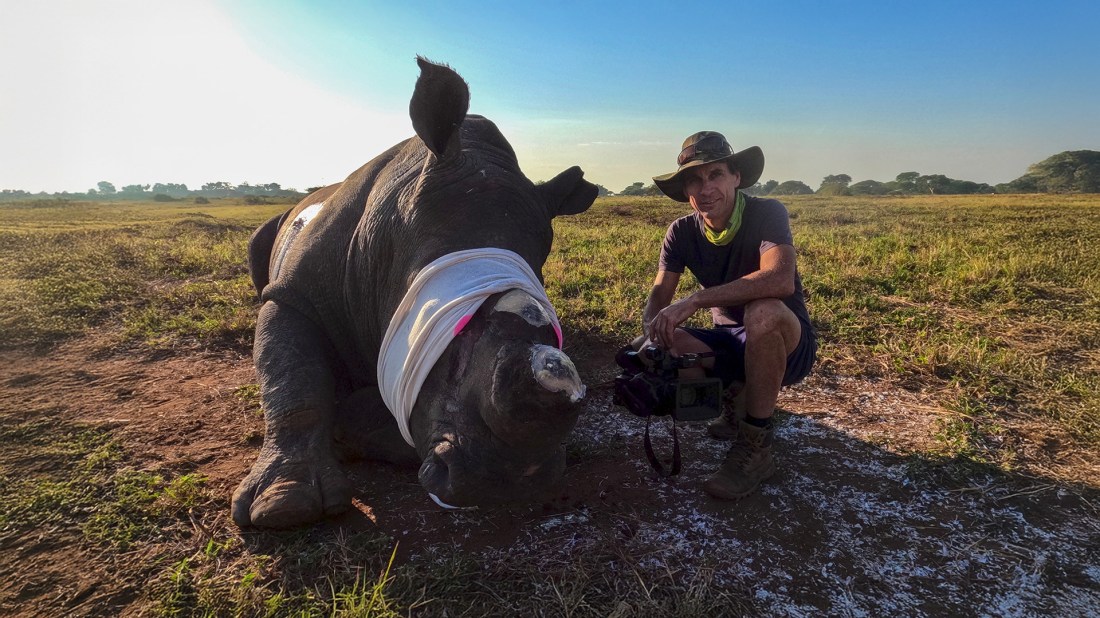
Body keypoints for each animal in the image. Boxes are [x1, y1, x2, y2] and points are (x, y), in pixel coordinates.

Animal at [232, 58, 597, 528]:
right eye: (452, 355)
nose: (510, 483)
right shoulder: (296, 295)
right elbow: (292, 374)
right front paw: (285, 509)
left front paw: (356, 424)